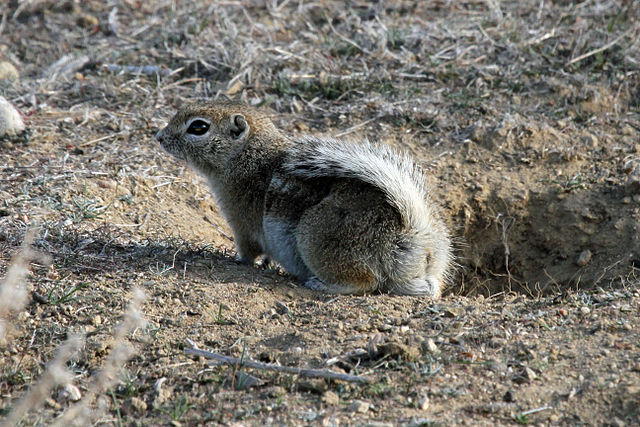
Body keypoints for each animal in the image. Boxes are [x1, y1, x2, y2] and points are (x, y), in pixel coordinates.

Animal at [156, 101, 452, 298]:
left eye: (198, 127)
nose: (159, 136)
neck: (246, 156)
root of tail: (413, 233)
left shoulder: (241, 223)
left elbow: (248, 250)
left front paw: (238, 262)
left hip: (315, 236)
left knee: (365, 282)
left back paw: (321, 284)